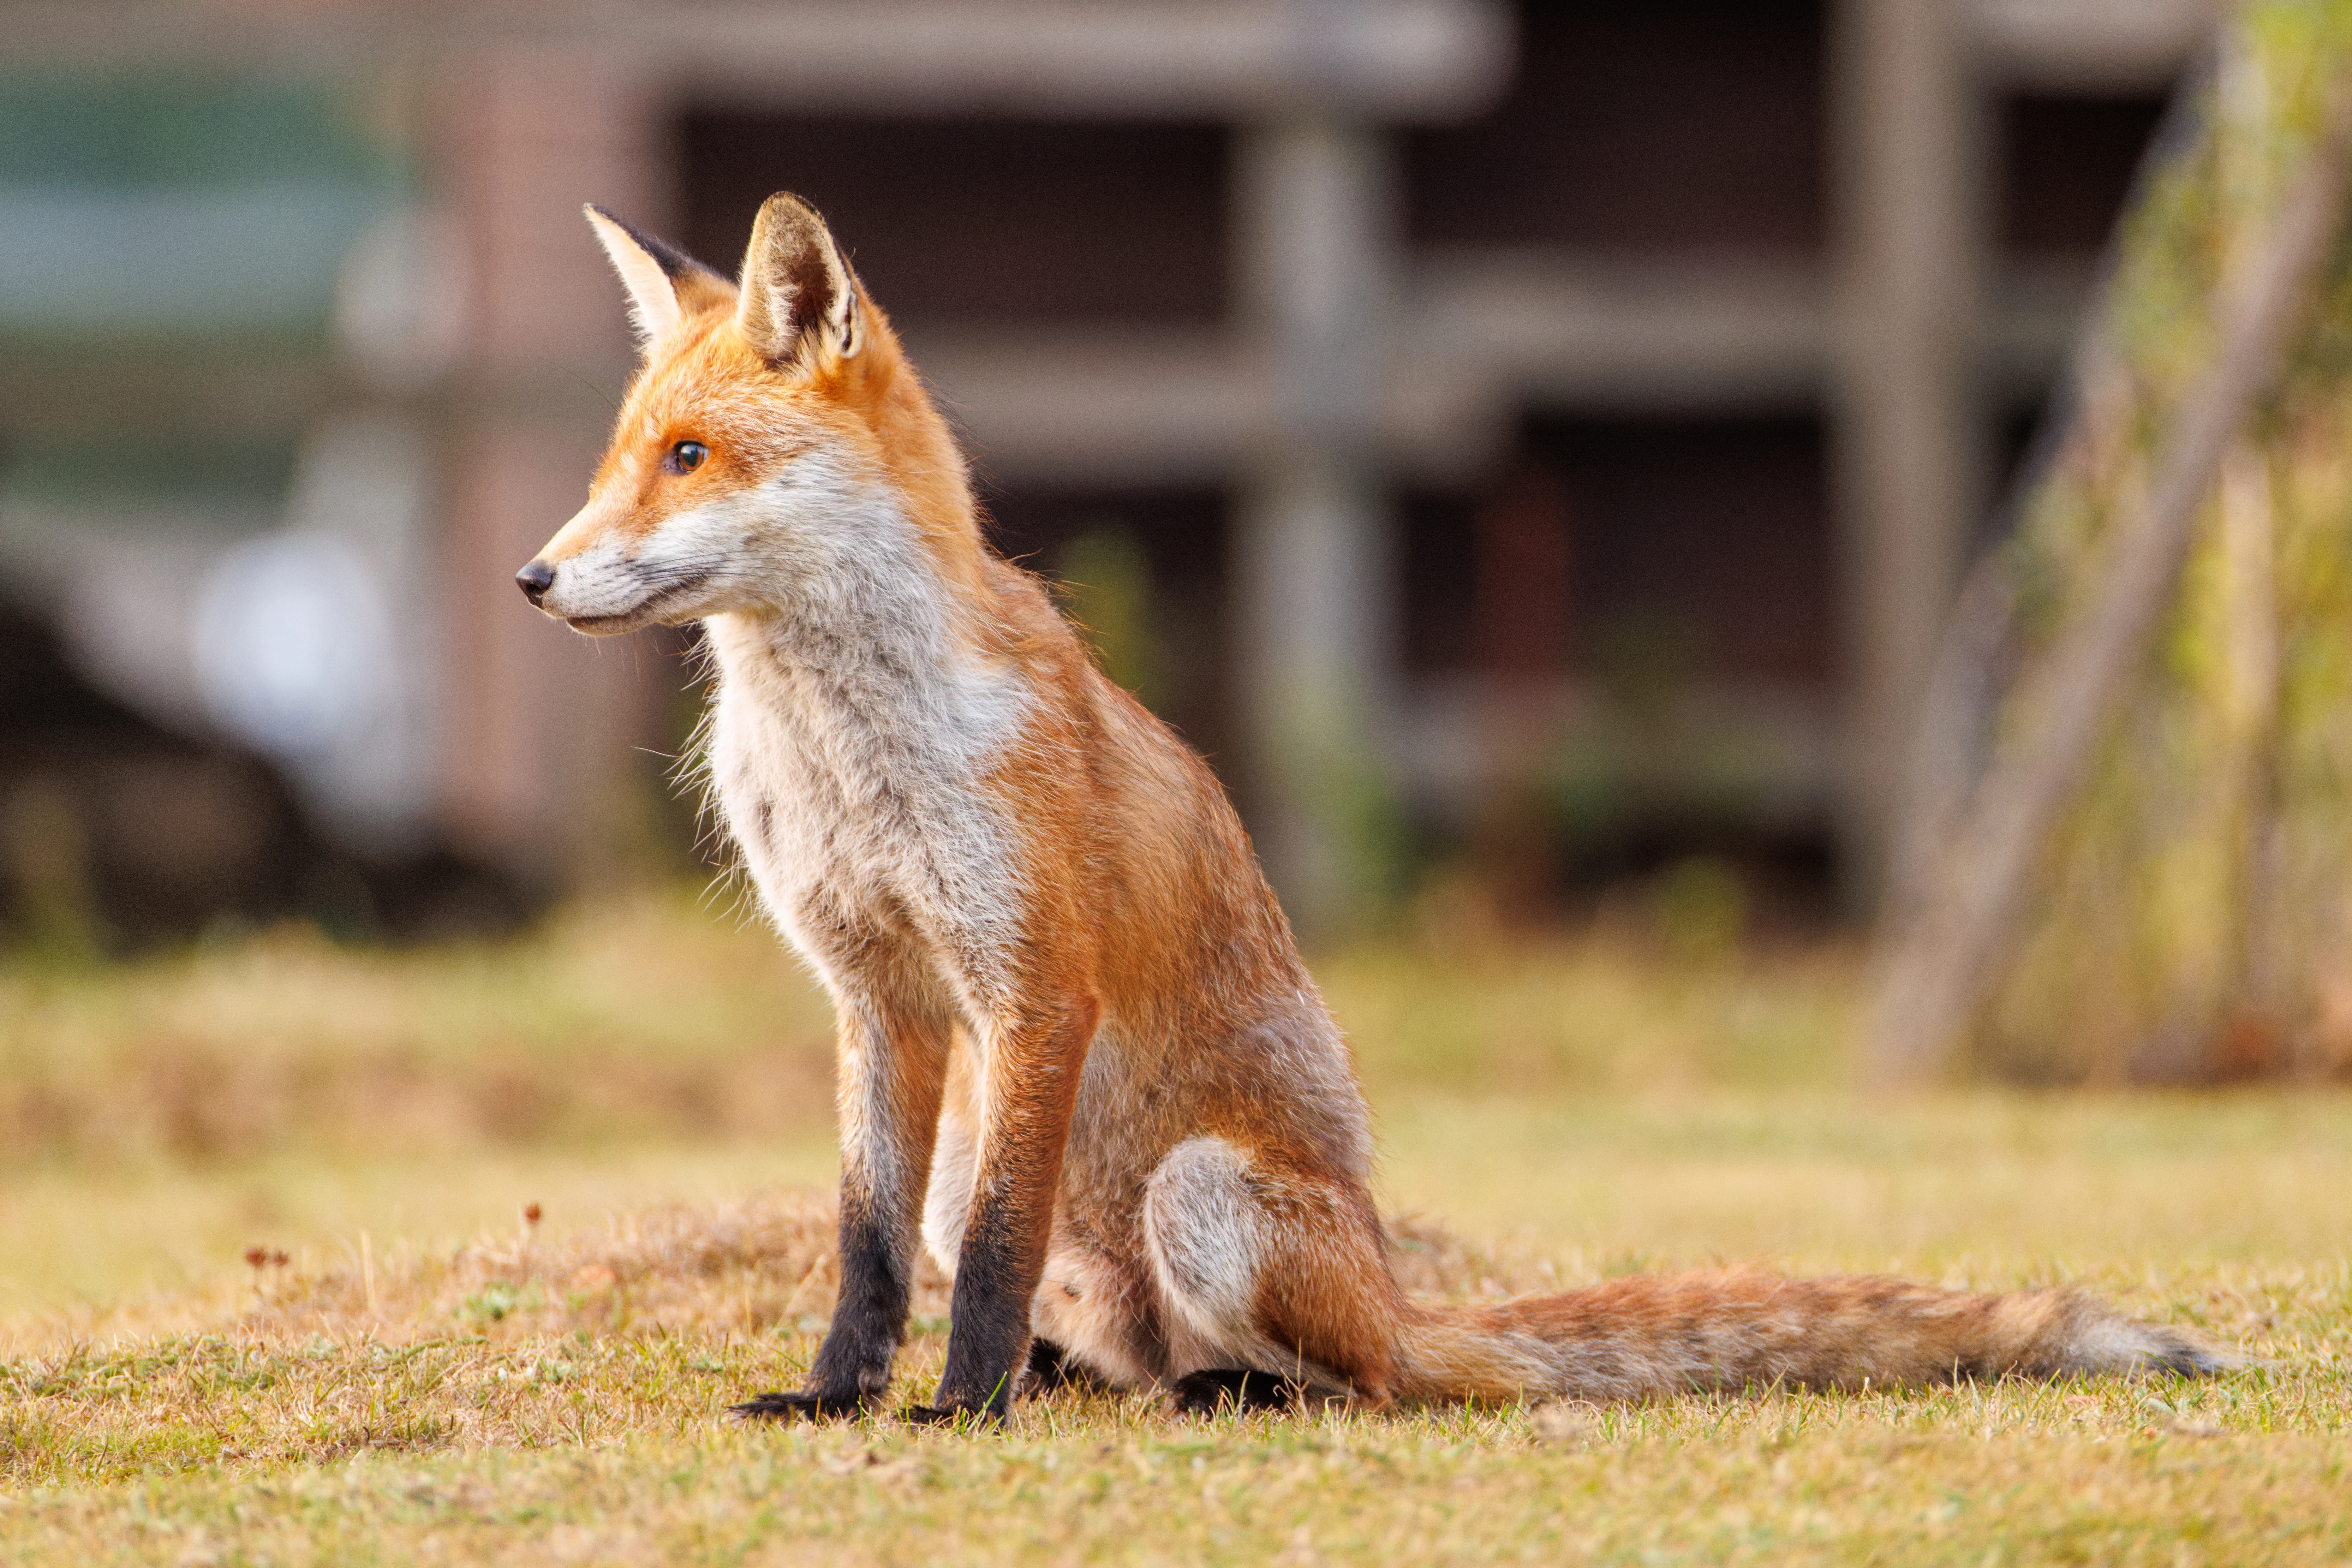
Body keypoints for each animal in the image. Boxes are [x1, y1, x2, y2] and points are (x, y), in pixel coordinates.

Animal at [516, 192, 2236, 1424]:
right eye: (616, 463)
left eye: (690, 457)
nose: (531, 577)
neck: (842, 752)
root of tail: (1404, 1292)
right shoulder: (879, 994)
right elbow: (867, 1246)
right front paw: (836, 1397)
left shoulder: (1031, 982)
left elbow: (996, 1252)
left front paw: (956, 1411)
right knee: (1109, 1335)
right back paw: (1095, 1381)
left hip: (1204, 1191)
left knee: (1355, 1379)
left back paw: (1225, 1389)